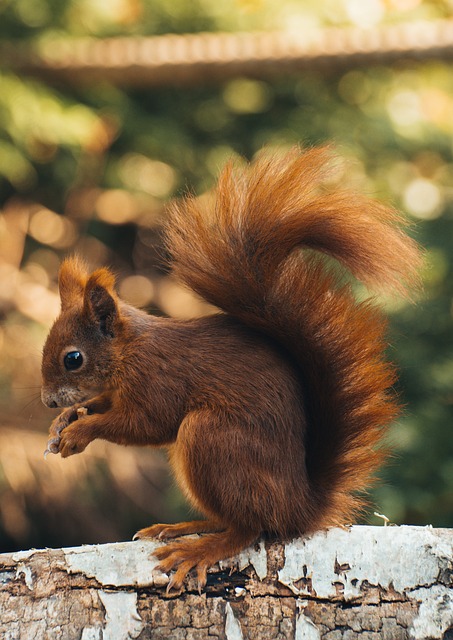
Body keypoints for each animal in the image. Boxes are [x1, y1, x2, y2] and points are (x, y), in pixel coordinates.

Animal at [41, 147, 421, 592]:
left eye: (73, 358)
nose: (48, 401)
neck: (128, 353)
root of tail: (299, 506)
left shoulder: (158, 380)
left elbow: (145, 424)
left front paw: (81, 430)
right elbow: (106, 406)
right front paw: (67, 419)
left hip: (214, 438)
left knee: (248, 528)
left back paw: (201, 548)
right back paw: (184, 526)